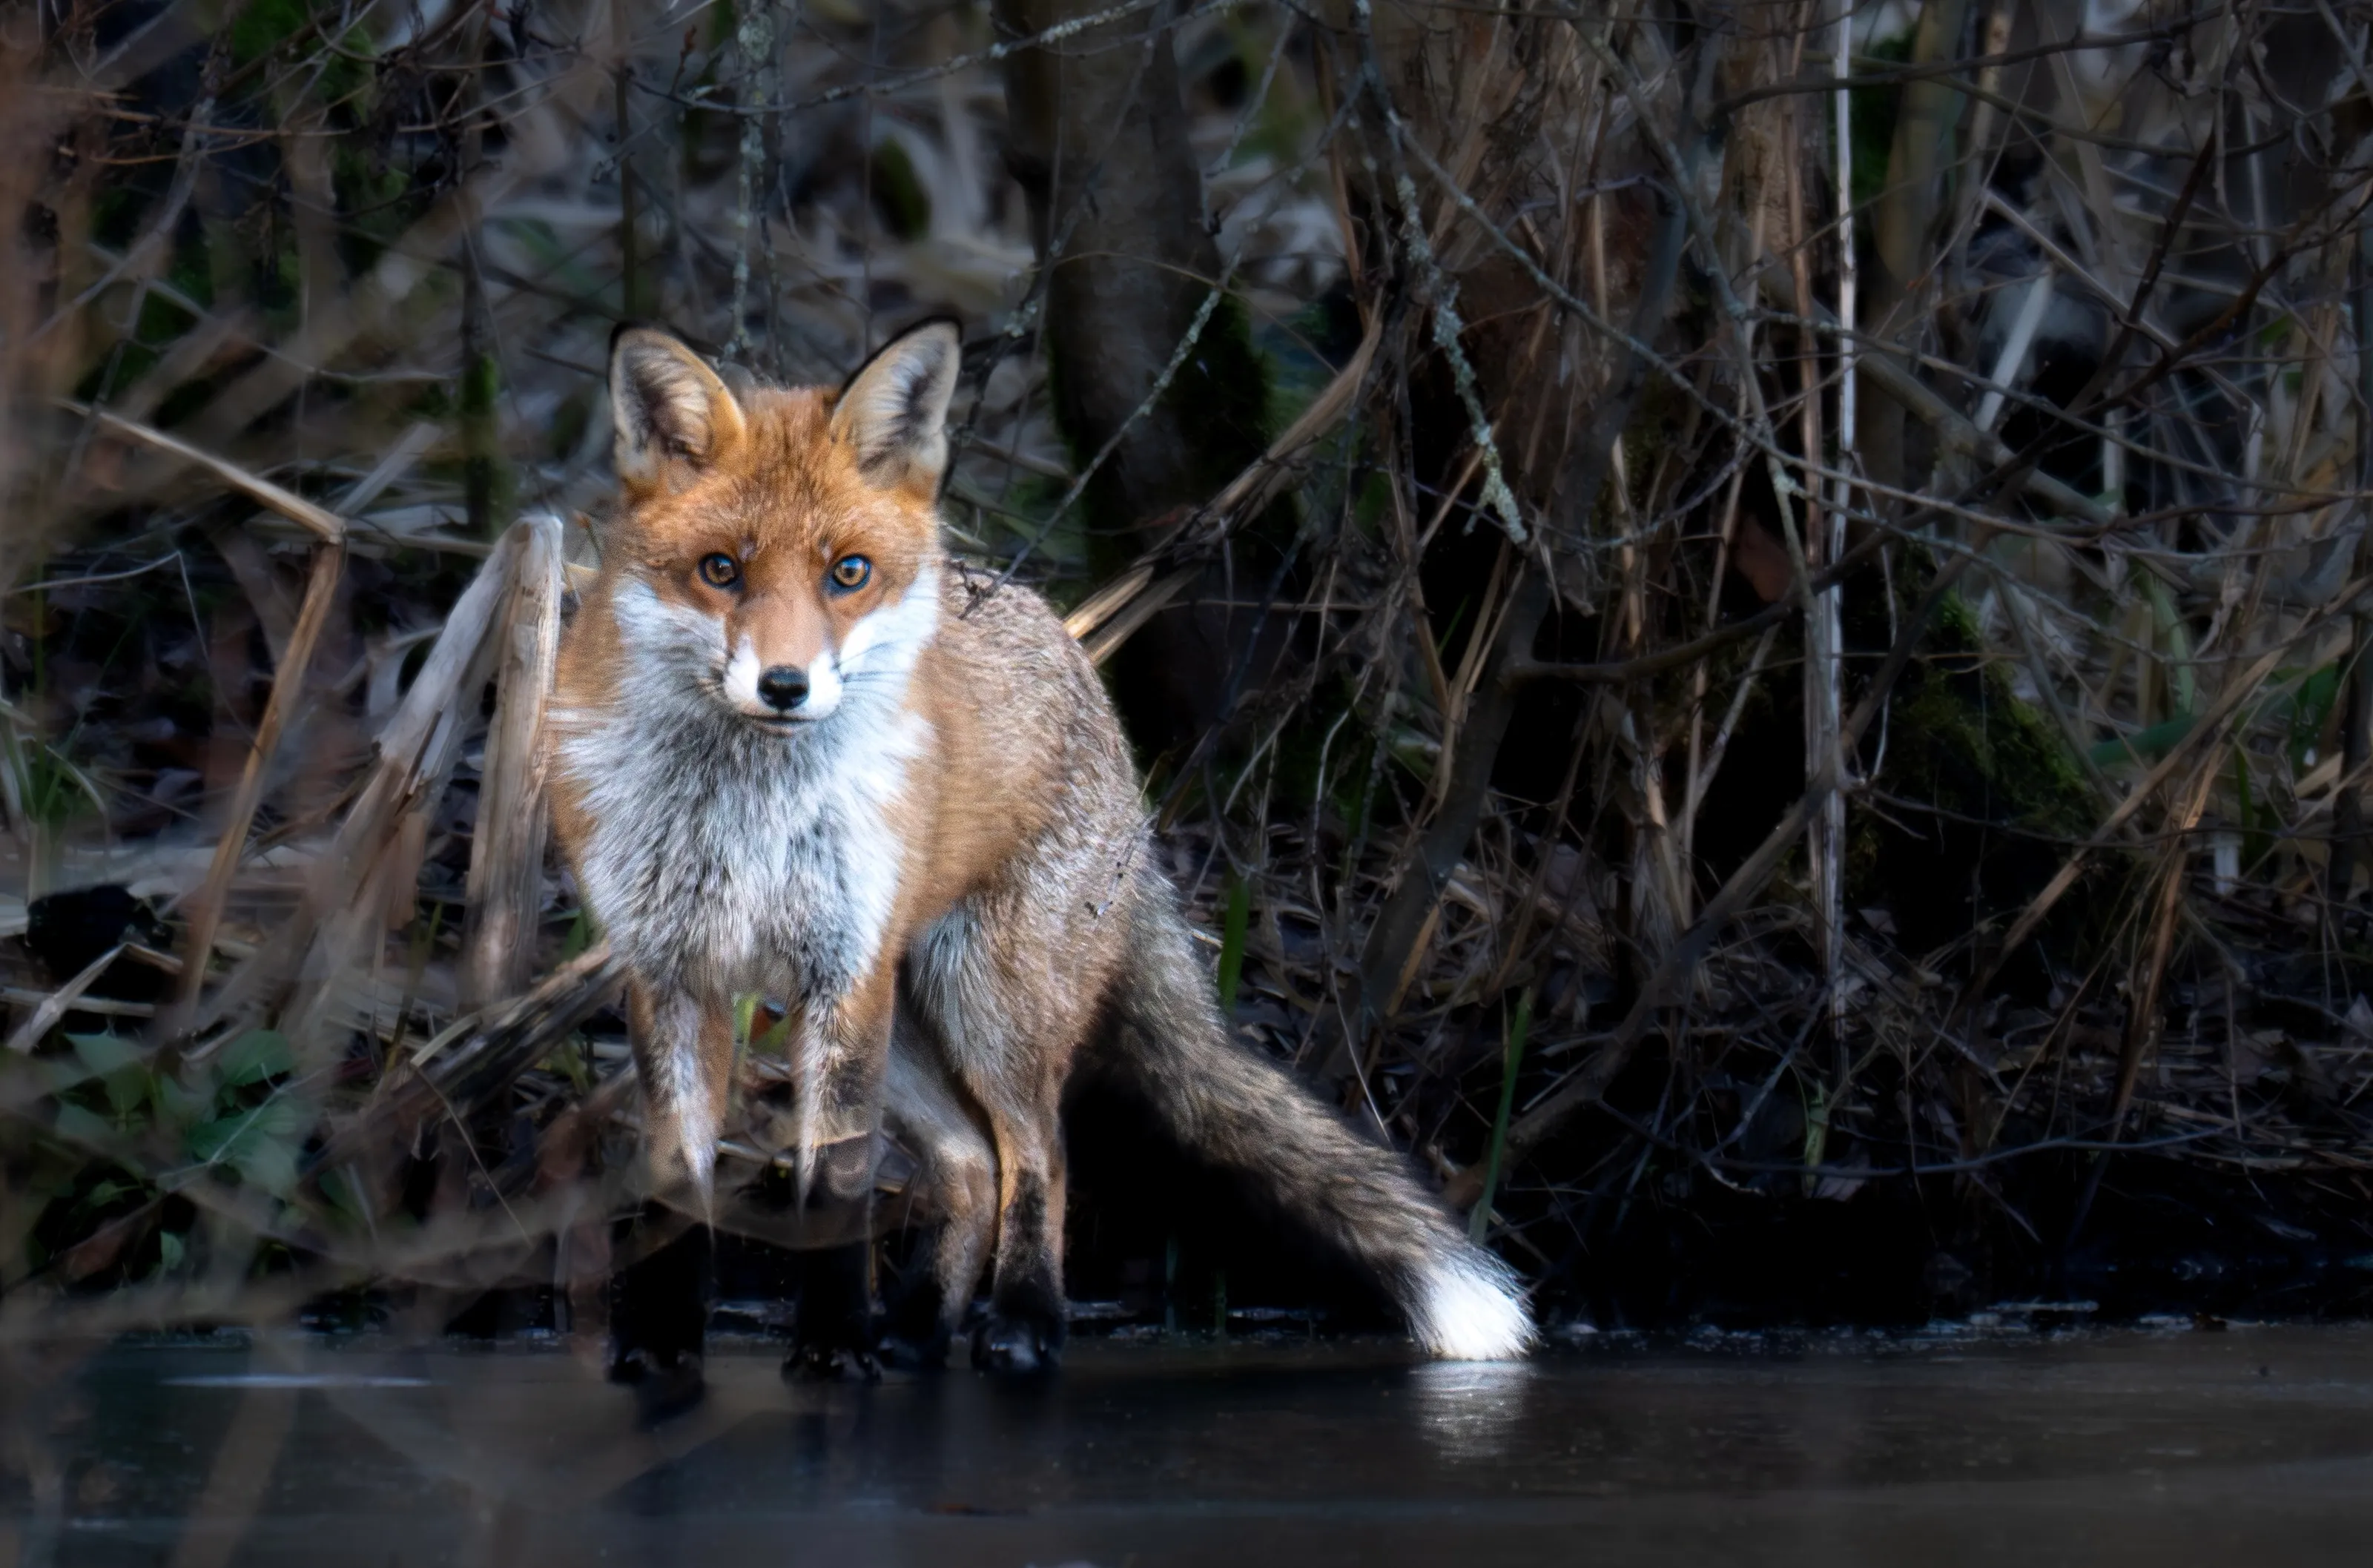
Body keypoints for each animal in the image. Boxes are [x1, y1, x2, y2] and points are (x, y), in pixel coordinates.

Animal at [545, 318, 1534, 1376]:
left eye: (847, 573)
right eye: (719, 570)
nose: (784, 686)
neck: (746, 818)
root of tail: (1066, 641)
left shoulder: (841, 976)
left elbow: (836, 1189)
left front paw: (831, 1347)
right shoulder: (669, 974)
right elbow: (671, 1183)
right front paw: (660, 1347)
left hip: (983, 1005)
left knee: (1039, 1150)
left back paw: (1022, 1324)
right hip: (903, 1023)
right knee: (973, 1165)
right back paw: (915, 1327)